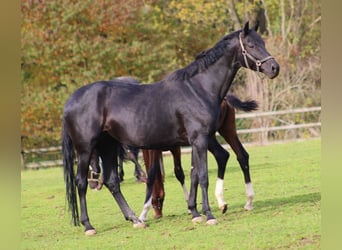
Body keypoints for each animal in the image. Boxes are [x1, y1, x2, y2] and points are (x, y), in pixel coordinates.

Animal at [62, 21, 280, 234]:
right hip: (86, 149)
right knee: (81, 182)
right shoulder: (199, 140)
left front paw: (196, 212)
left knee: (112, 182)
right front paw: (209, 215)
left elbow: (194, 174)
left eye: (262, 42)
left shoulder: (196, 141)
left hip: (107, 146)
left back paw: (136, 220)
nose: (274, 68)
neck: (198, 89)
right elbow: (201, 176)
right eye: (251, 45)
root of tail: (71, 101)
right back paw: (89, 226)